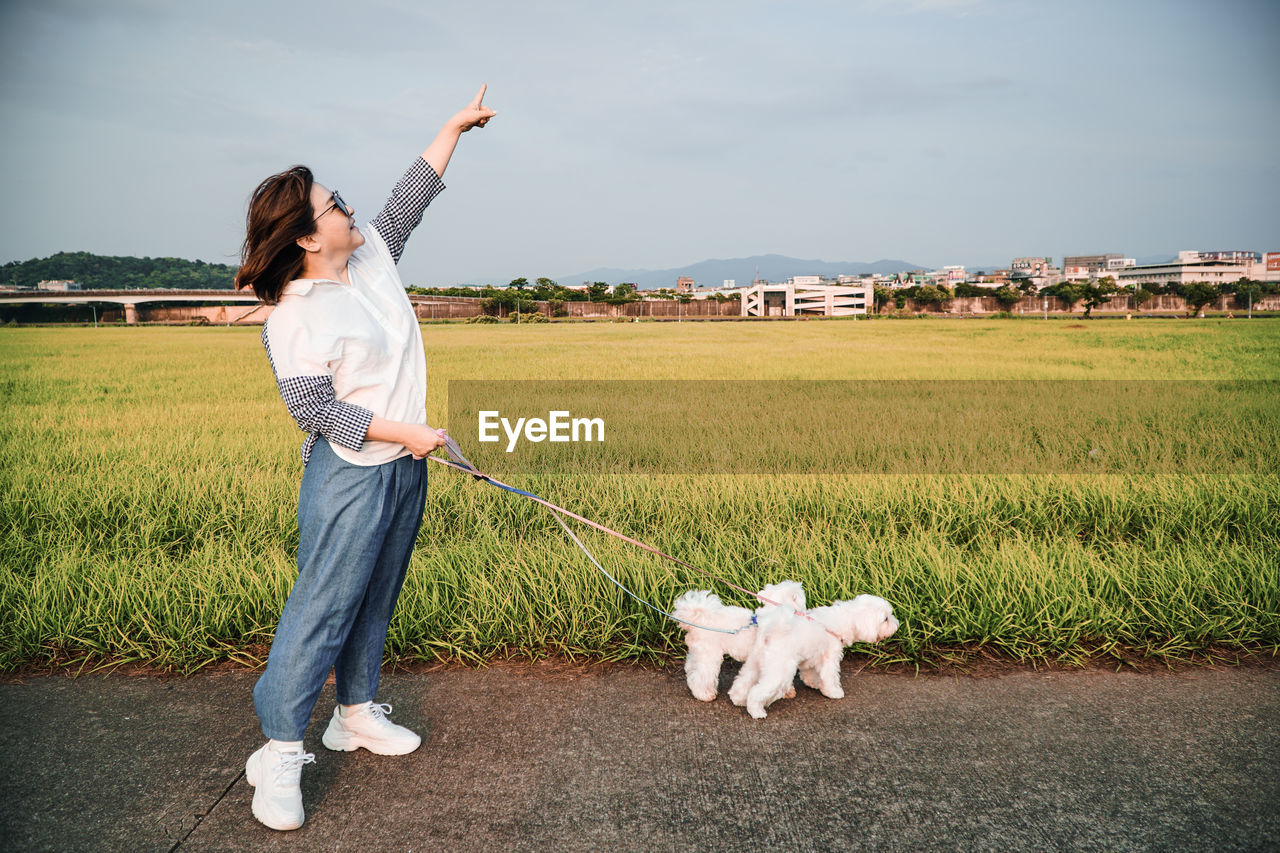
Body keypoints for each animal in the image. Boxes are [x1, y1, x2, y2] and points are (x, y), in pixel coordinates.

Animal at [675, 581, 803, 701]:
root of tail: (697, 619)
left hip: (698, 652)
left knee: (692, 669)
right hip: (709, 654)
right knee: (703, 676)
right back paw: (705, 694)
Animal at [732, 591, 901, 717]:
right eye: (886, 619)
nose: (897, 624)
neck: (846, 618)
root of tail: (771, 632)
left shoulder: (812, 655)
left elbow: (808, 672)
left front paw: (813, 683)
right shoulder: (830, 657)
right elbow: (829, 677)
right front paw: (833, 692)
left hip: (755, 663)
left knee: (743, 682)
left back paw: (738, 699)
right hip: (779, 671)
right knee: (757, 691)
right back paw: (756, 711)